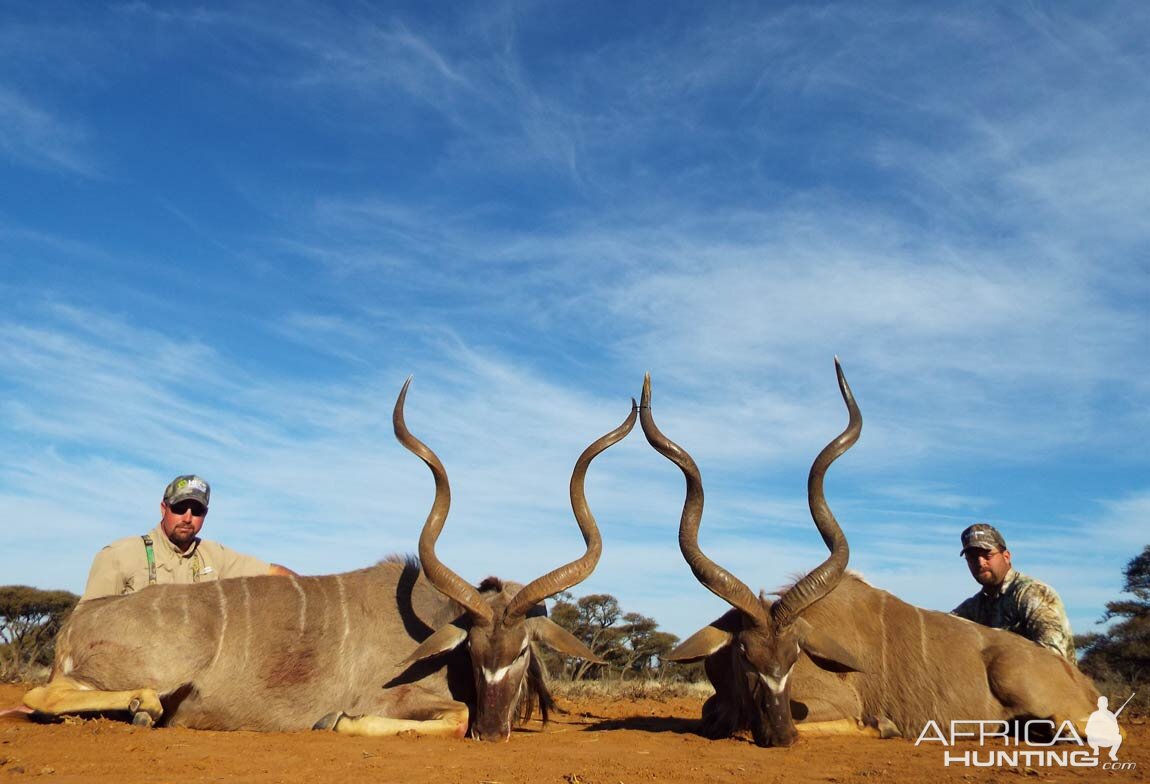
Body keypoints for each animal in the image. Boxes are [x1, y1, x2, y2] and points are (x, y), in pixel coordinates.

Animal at [24, 379, 639, 740]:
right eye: (472, 647)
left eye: (525, 648)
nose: (493, 733)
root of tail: (77, 621)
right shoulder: (395, 699)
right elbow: (437, 717)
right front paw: (334, 718)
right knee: (38, 694)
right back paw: (145, 706)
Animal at [644, 360, 1099, 744]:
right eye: (744, 654)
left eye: (795, 656)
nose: (781, 734)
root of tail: (1083, 684)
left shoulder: (834, 703)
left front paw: (883, 725)